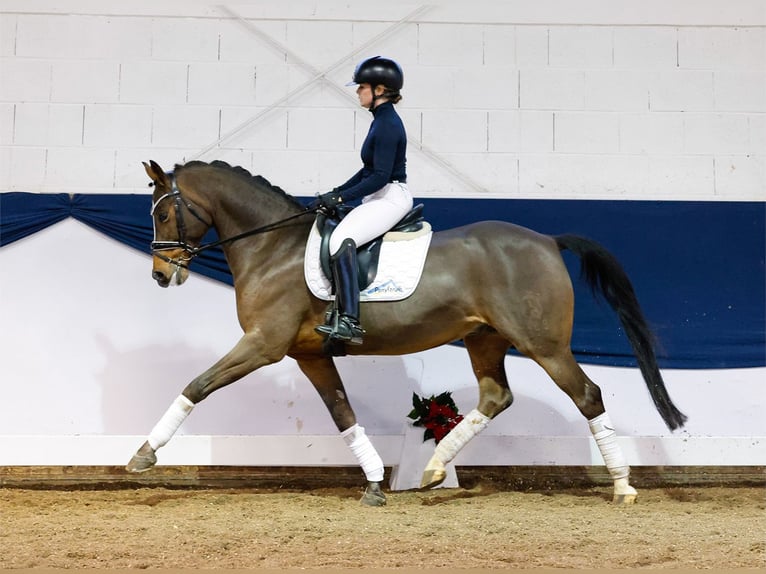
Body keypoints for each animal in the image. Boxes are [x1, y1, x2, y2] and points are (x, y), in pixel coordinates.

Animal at [127, 160, 688, 506]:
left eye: (163, 211)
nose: (158, 274)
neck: (273, 248)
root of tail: (548, 240)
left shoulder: (263, 345)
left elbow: (197, 385)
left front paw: (143, 455)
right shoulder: (309, 355)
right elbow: (344, 415)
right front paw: (376, 483)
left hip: (544, 345)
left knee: (587, 395)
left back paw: (622, 487)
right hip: (486, 339)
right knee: (495, 397)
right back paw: (434, 469)